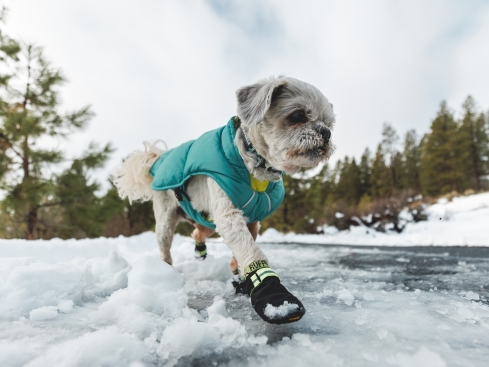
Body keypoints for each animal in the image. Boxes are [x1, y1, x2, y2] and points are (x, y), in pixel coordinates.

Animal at [111, 75, 336, 324]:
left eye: (329, 123)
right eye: (297, 115)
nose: (326, 133)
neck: (256, 167)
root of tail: (157, 161)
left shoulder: (252, 221)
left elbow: (244, 247)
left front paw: (241, 277)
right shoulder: (228, 214)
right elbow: (250, 249)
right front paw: (273, 294)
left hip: (207, 221)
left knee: (197, 233)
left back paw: (200, 254)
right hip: (166, 218)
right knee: (165, 246)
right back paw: (165, 271)